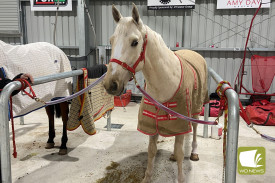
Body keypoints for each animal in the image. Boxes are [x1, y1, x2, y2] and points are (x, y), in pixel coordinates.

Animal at [103, 3, 209, 182]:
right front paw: (148, 177)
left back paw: (194, 152)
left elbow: (181, 152)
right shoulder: (152, 124)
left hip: (195, 108)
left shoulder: (181, 121)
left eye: (135, 42)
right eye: (111, 40)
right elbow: (152, 151)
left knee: (194, 128)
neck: (165, 82)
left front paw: (181, 177)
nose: (110, 84)